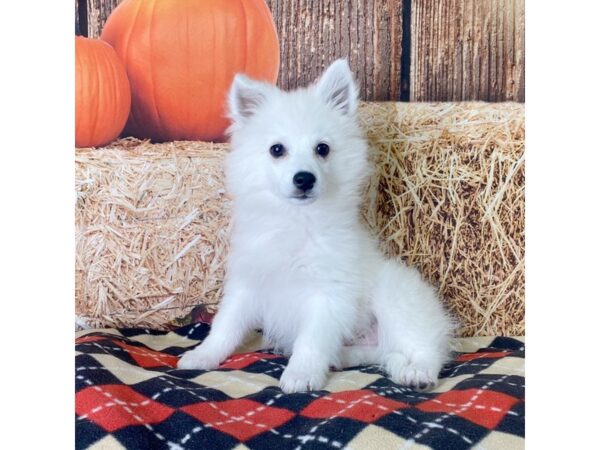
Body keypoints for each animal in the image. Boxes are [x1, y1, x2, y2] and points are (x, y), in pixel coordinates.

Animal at [178, 59, 454, 394]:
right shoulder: (247, 283)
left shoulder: (328, 295)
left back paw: (418, 373)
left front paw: (301, 374)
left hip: (397, 298)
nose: (304, 179)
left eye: (322, 148)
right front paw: (202, 355)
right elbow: (225, 326)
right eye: (277, 150)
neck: (296, 221)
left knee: (425, 347)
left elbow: (310, 341)